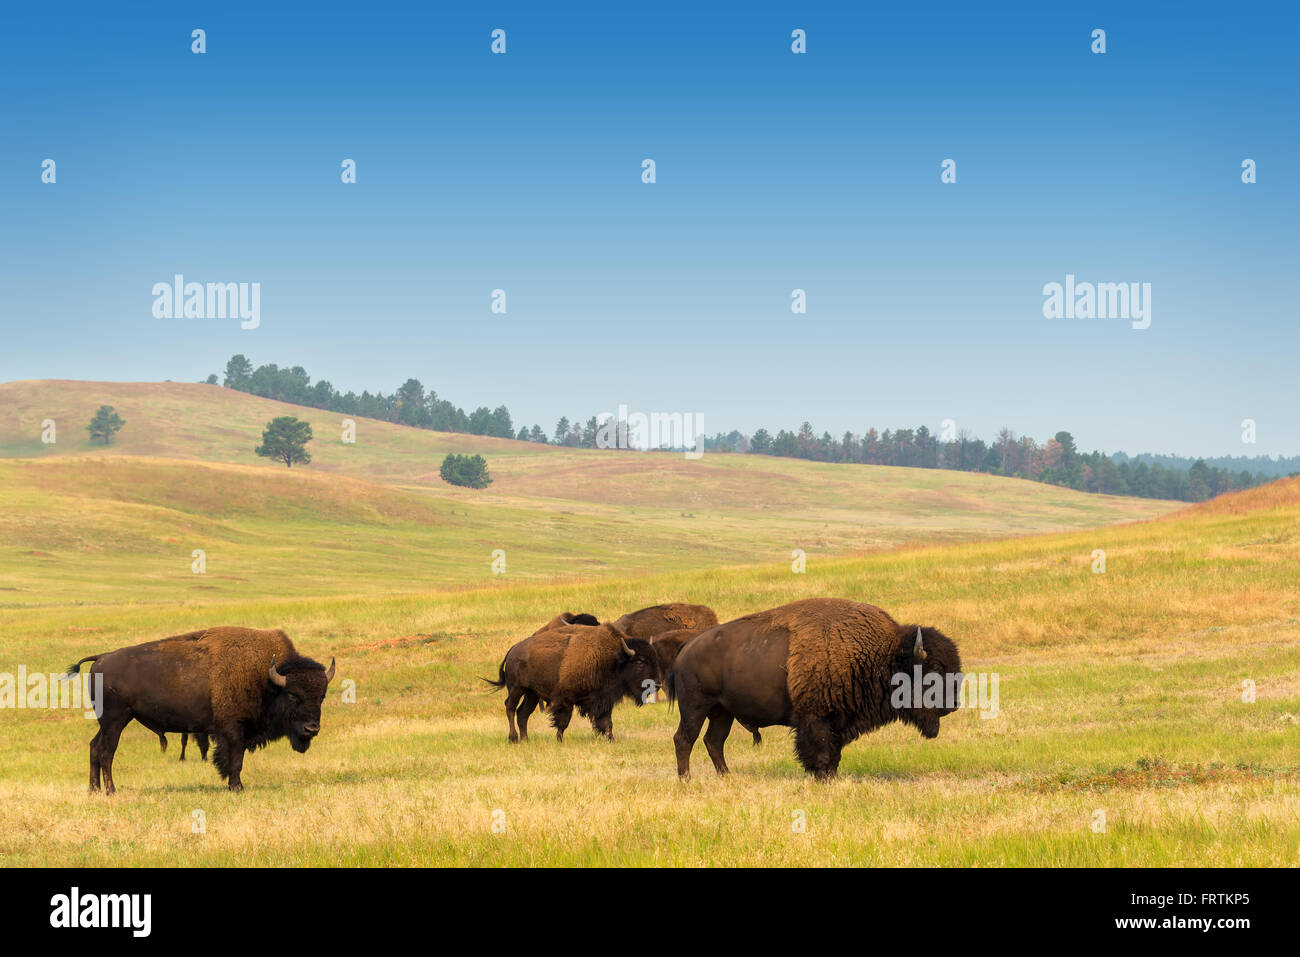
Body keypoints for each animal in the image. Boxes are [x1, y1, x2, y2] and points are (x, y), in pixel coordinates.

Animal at [67, 629, 335, 790]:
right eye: (293, 695)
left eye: (321, 696)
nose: (312, 729)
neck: (266, 679)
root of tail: (102, 658)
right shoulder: (233, 730)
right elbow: (235, 760)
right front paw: (237, 787)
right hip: (115, 721)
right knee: (106, 752)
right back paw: (111, 791)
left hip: (107, 723)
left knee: (94, 747)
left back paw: (94, 790)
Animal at [480, 624, 660, 743]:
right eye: (640, 662)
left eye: (654, 658)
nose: (657, 684)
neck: (613, 658)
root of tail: (512, 650)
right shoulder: (565, 700)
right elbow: (563, 722)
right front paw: (559, 741)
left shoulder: (603, 700)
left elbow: (607, 722)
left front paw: (611, 740)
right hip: (517, 689)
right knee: (510, 707)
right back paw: (514, 738)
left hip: (532, 694)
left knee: (522, 713)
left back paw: (526, 739)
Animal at [676, 600, 961, 780]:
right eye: (935, 668)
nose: (953, 705)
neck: (879, 653)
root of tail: (686, 649)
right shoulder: (816, 719)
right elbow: (821, 751)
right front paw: (822, 777)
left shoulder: (839, 721)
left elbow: (834, 752)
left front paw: (831, 777)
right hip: (695, 707)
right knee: (684, 739)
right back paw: (686, 780)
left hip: (723, 712)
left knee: (714, 741)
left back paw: (727, 777)